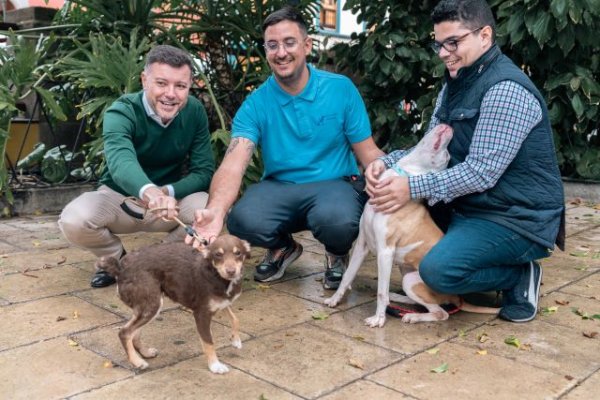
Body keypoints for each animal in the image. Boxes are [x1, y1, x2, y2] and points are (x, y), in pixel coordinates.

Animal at [96, 233, 251, 374]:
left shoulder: (223, 302)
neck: (217, 275)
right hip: (151, 305)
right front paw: (215, 366)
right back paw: (137, 362)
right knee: (125, 332)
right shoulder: (201, 314)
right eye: (218, 255)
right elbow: (208, 342)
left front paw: (235, 340)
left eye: (238, 253)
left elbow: (235, 319)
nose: (231, 271)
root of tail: (120, 269)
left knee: (134, 333)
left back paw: (145, 353)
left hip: (146, 306)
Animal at [326, 125, 500, 328]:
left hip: (411, 280)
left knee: (441, 313)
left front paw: (378, 319)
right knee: (416, 301)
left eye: (446, 156)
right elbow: (347, 276)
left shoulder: (385, 251)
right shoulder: (362, 244)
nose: (449, 127)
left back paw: (413, 316)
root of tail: (457, 297)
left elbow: (381, 292)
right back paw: (397, 299)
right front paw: (335, 299)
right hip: (405, 274)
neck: (403, 174)